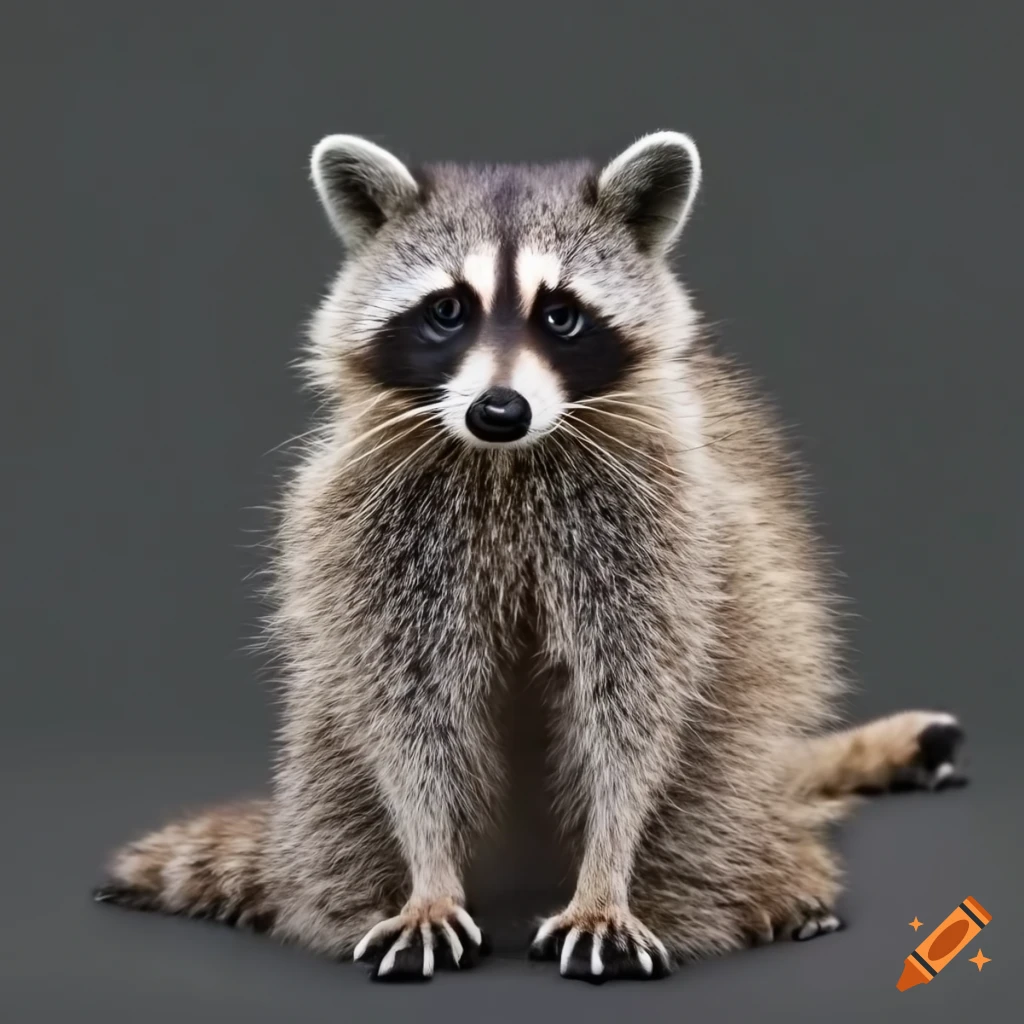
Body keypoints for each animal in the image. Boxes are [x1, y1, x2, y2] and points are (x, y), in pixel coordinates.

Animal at [94, 132, 967, 983]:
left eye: (562, 316)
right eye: (448, 310)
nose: (499, 410)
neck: (506, 459)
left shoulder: (652, 519)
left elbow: (633, 709)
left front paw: (607, 879)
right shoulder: (376, 524)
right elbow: (406, 711)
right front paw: (429, 877)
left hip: (734, 745)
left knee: (711, 802)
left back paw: (765, 882)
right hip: (320, 776)